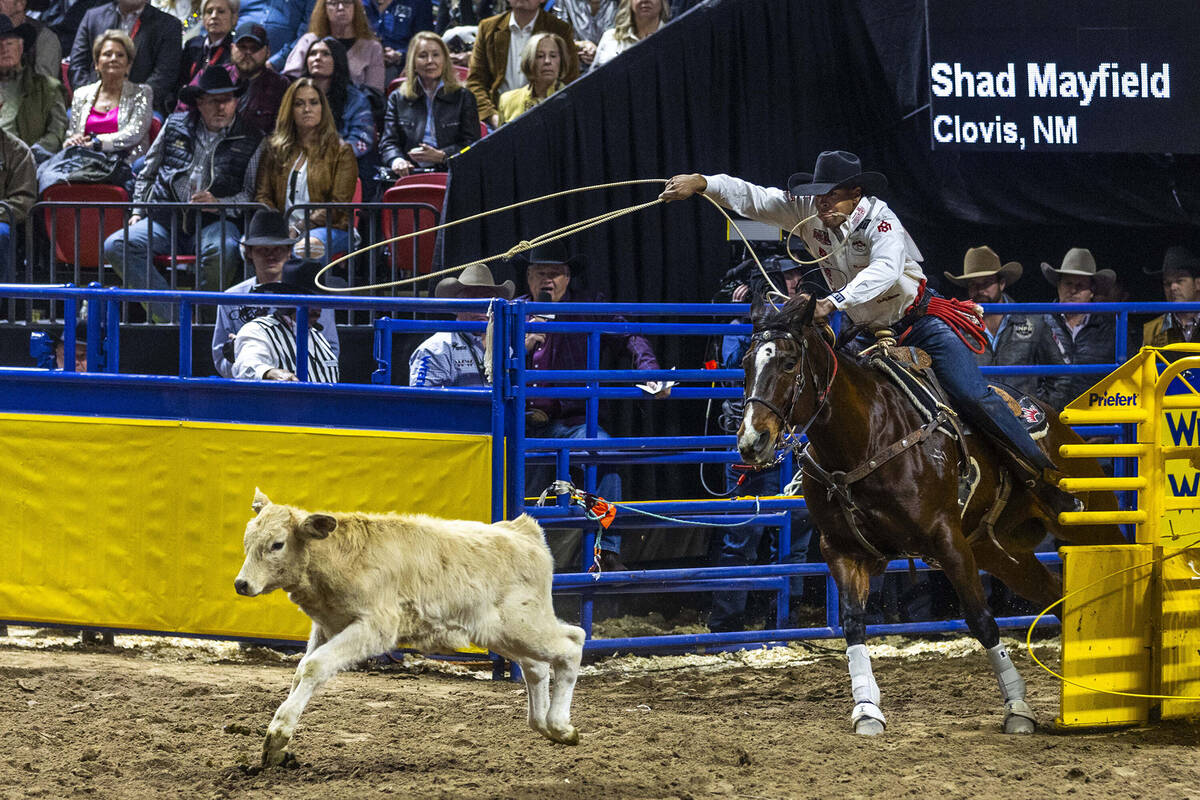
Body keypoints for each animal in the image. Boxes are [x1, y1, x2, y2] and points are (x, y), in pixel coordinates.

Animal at [739, 292, 1123, 734]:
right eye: (746, 363)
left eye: (788, 362)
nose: (751, 441)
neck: (868, 434)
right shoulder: (842, 550)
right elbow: (853, 623)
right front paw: (866, 708)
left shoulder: (947, 538)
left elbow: (981, 619)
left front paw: (1017, 708)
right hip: (997, 552)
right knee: (1057, 597)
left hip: (1090, 524)